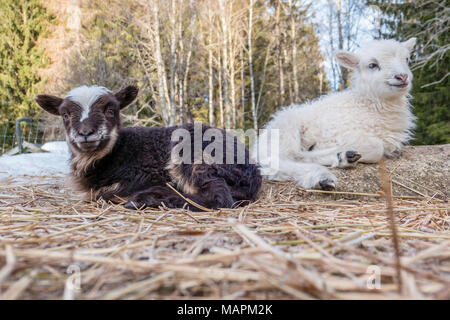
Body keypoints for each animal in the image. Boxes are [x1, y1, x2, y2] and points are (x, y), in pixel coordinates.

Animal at [255, 39, 416, 190]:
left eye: (407, 59)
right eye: (372, 65)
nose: (402, 77)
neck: (368, 106)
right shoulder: (339, 134)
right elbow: (377, 148)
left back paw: (343, 157)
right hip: (285, 130)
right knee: (280, 161)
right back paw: (322, 175)